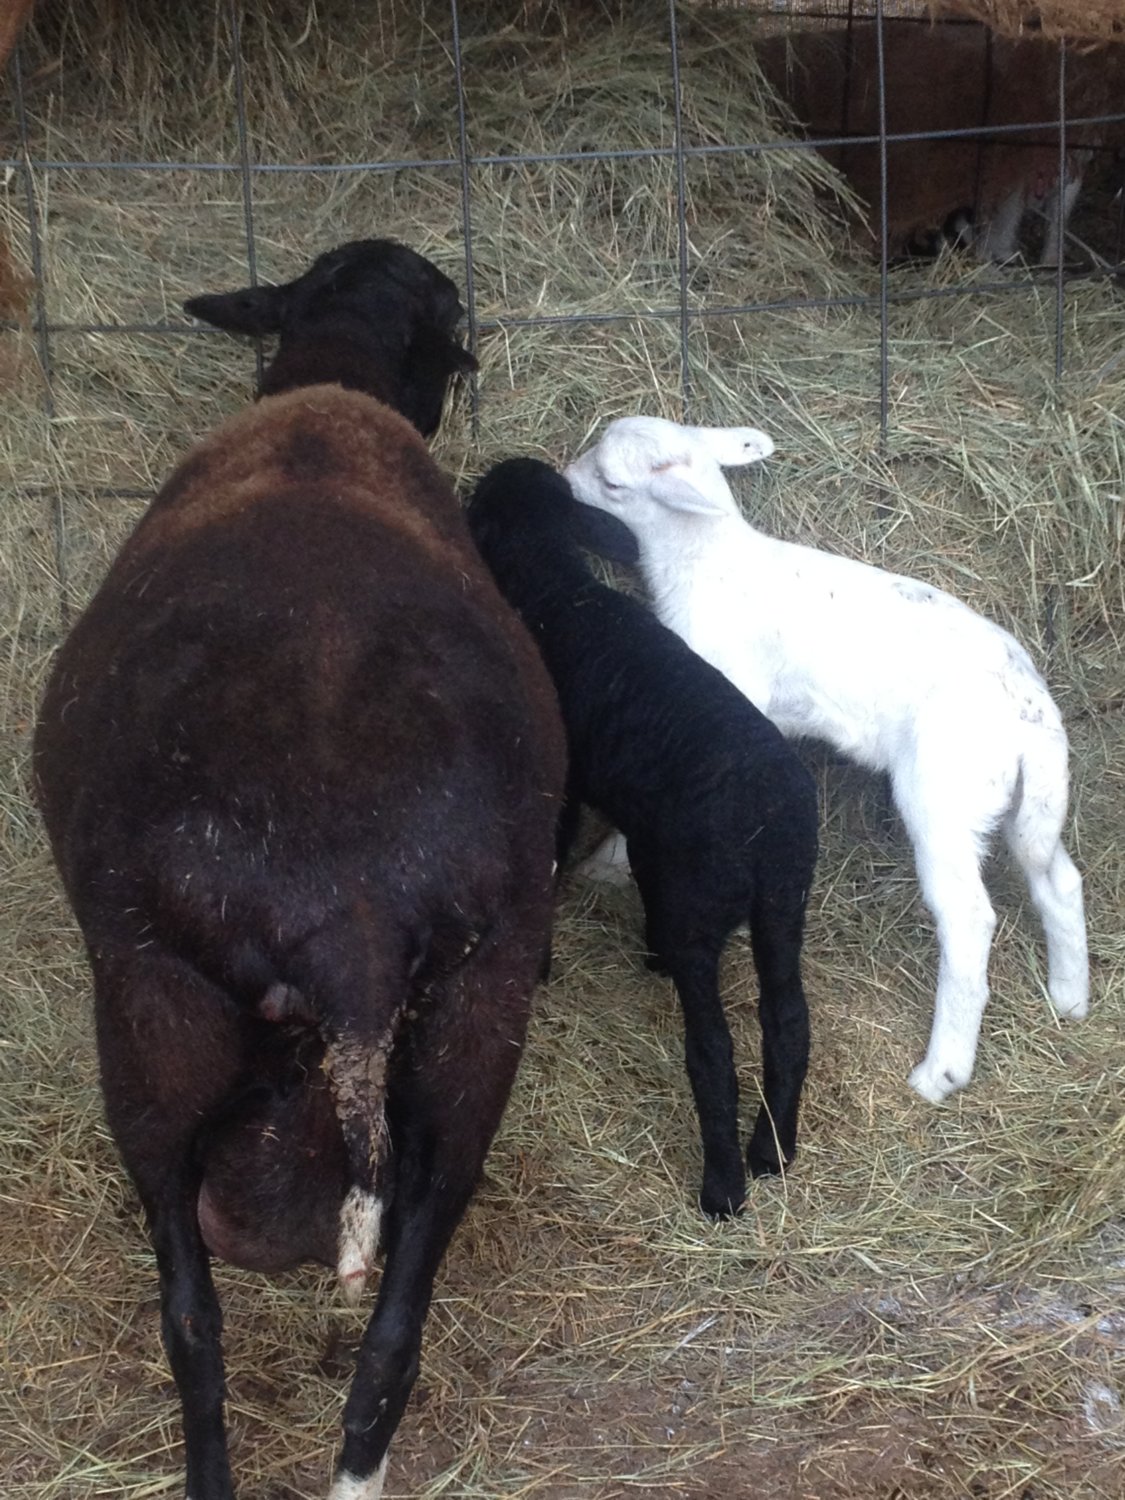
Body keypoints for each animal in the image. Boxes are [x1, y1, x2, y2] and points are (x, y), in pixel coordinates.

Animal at [564, 420, 1092, 1104]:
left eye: (610, 483)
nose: (562, 480)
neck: (704, 561)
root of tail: (1029, 711)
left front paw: (604, 863)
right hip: (1026, 799)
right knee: (1056, 877)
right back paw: (1069, 996)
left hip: (944, 793)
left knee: (970, 919)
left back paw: (941, 1072)